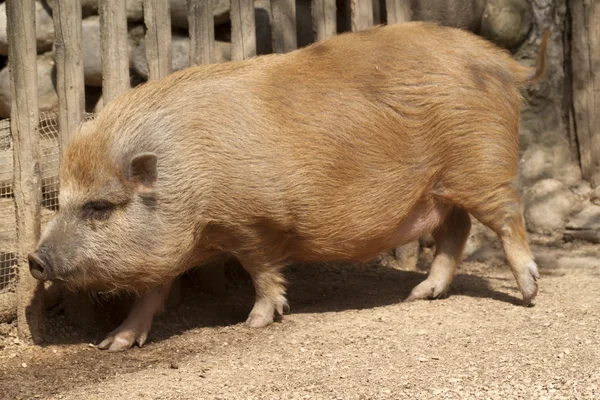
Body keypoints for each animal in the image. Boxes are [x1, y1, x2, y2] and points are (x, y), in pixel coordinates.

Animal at [29, 21, 548, 352]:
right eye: (63, 201)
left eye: (99, 207)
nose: (35, 260)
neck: (189, 179)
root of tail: (499, 60)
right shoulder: (180, 242)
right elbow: (152, 291)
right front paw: (112, 344)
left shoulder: (252, 222)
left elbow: (261, 269)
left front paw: (255, 321)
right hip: (442, 187)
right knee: (456, 231)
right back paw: (420, 295)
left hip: (482, 165)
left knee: (508, 216)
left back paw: (529, 294)